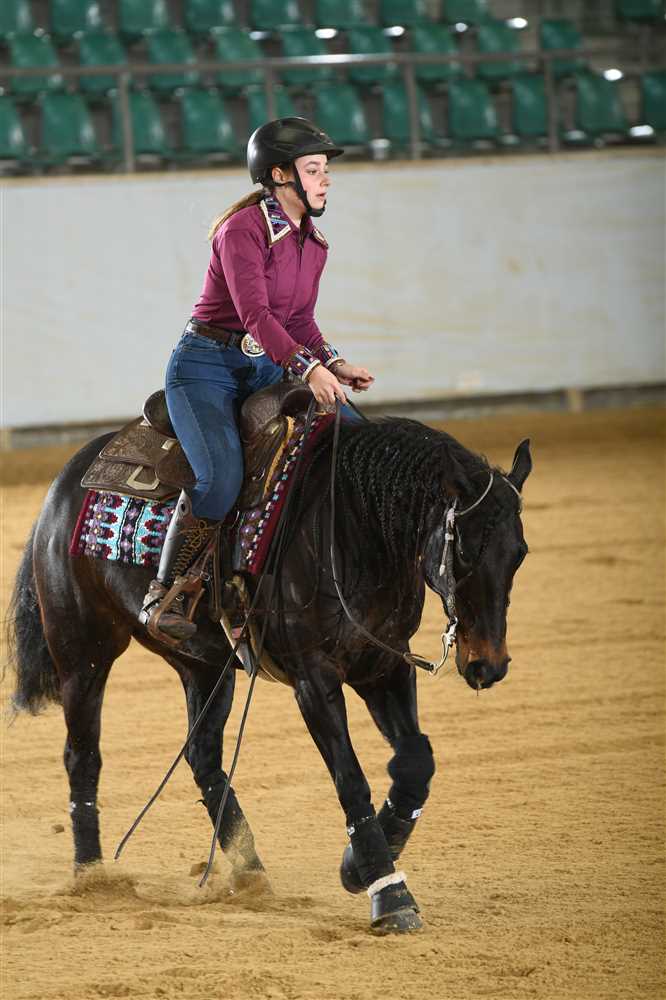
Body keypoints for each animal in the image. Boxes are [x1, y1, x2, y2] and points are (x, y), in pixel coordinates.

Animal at [7, 411, 531, 934]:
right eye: (464, 551)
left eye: (520, 553)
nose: (488, 664)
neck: (349, 527)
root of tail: (67, 478)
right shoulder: (313, 678)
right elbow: (350, 779)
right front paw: (389, 892)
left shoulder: (383, 664)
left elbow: (415, 762)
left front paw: (355, 865)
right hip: (82, 652)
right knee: (82, 757)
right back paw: (91, 876)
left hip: (203, 665)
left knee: (202, 756)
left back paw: (249, 871)